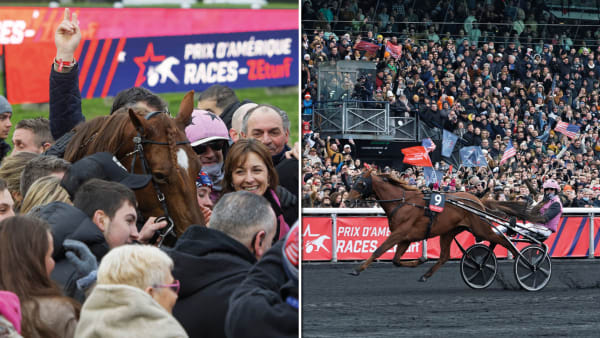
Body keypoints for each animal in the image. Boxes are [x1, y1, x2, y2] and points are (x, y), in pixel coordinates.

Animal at [344, 169, 548, 282]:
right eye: (353, 181)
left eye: (361, 183)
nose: (346, 201)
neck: (403, 202)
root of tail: (478, 201)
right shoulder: (406, 237)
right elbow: (395, 260)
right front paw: (420, 260)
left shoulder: (400, 234)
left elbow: (379, 250)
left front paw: (357, 269)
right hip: (449, 232)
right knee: (445, 256)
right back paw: (426, 274)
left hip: (480, 227)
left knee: (503, 240)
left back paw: (528, 264)